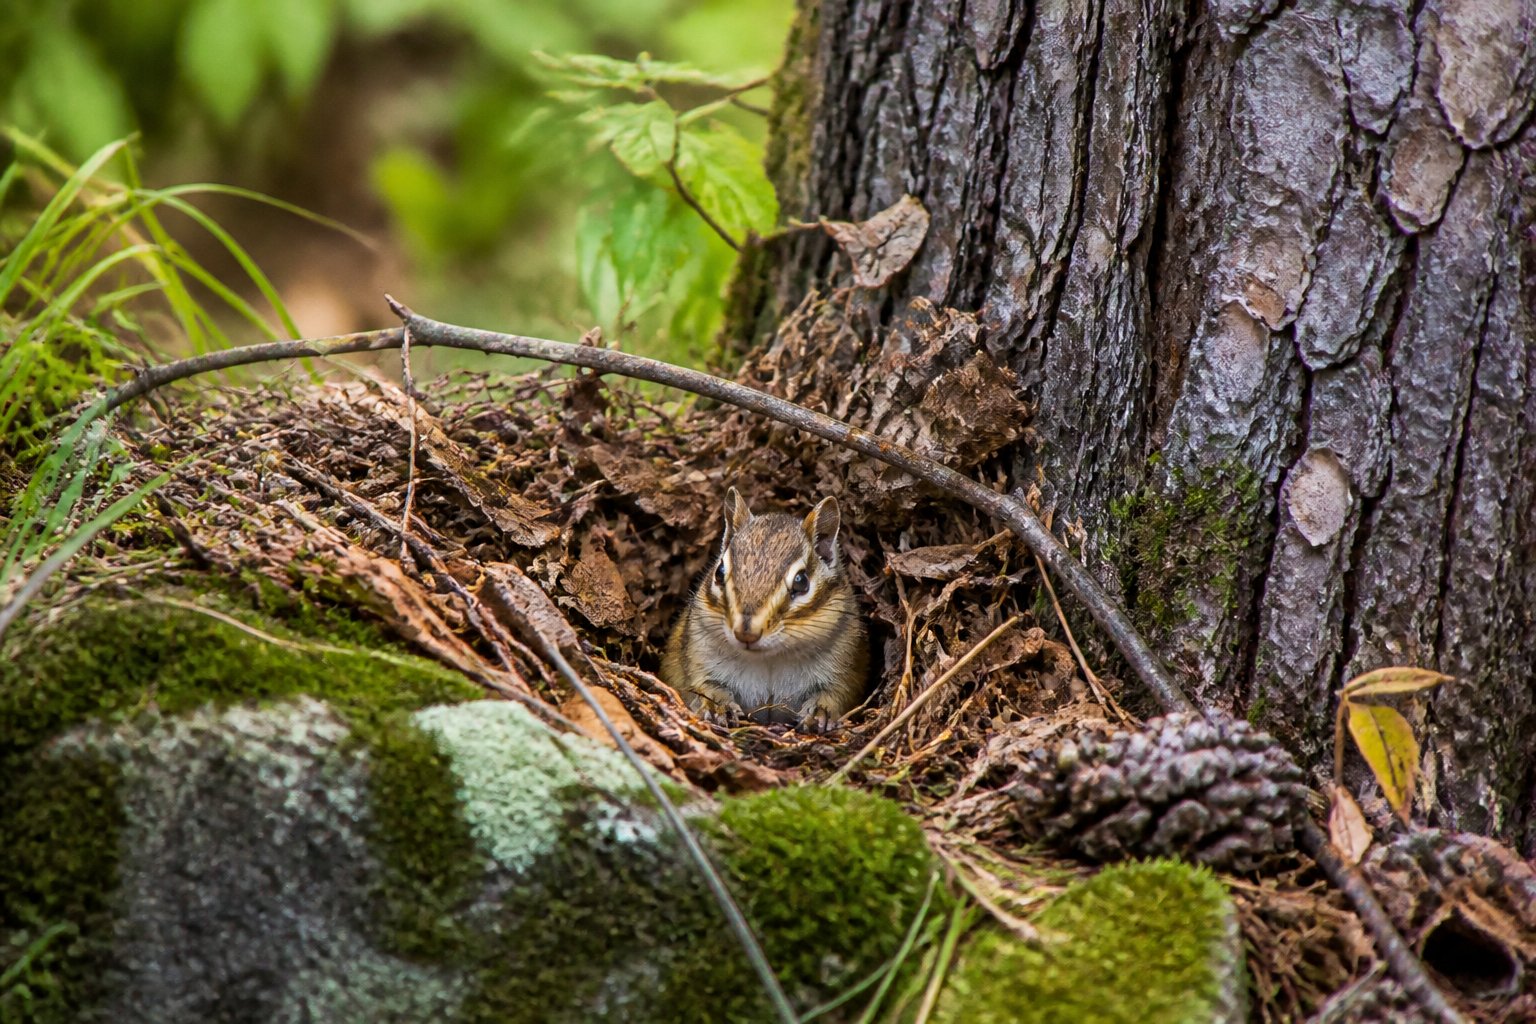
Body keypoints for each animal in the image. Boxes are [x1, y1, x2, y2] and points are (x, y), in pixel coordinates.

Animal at [662, 487, 868, 731]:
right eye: (719, 572)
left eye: (801, 581)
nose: (746, 633)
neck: (769, 658)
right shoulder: (697, 656)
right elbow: (703, 685)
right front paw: (716, 705)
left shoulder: (845, 666)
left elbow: (837, 693)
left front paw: (821, 712)